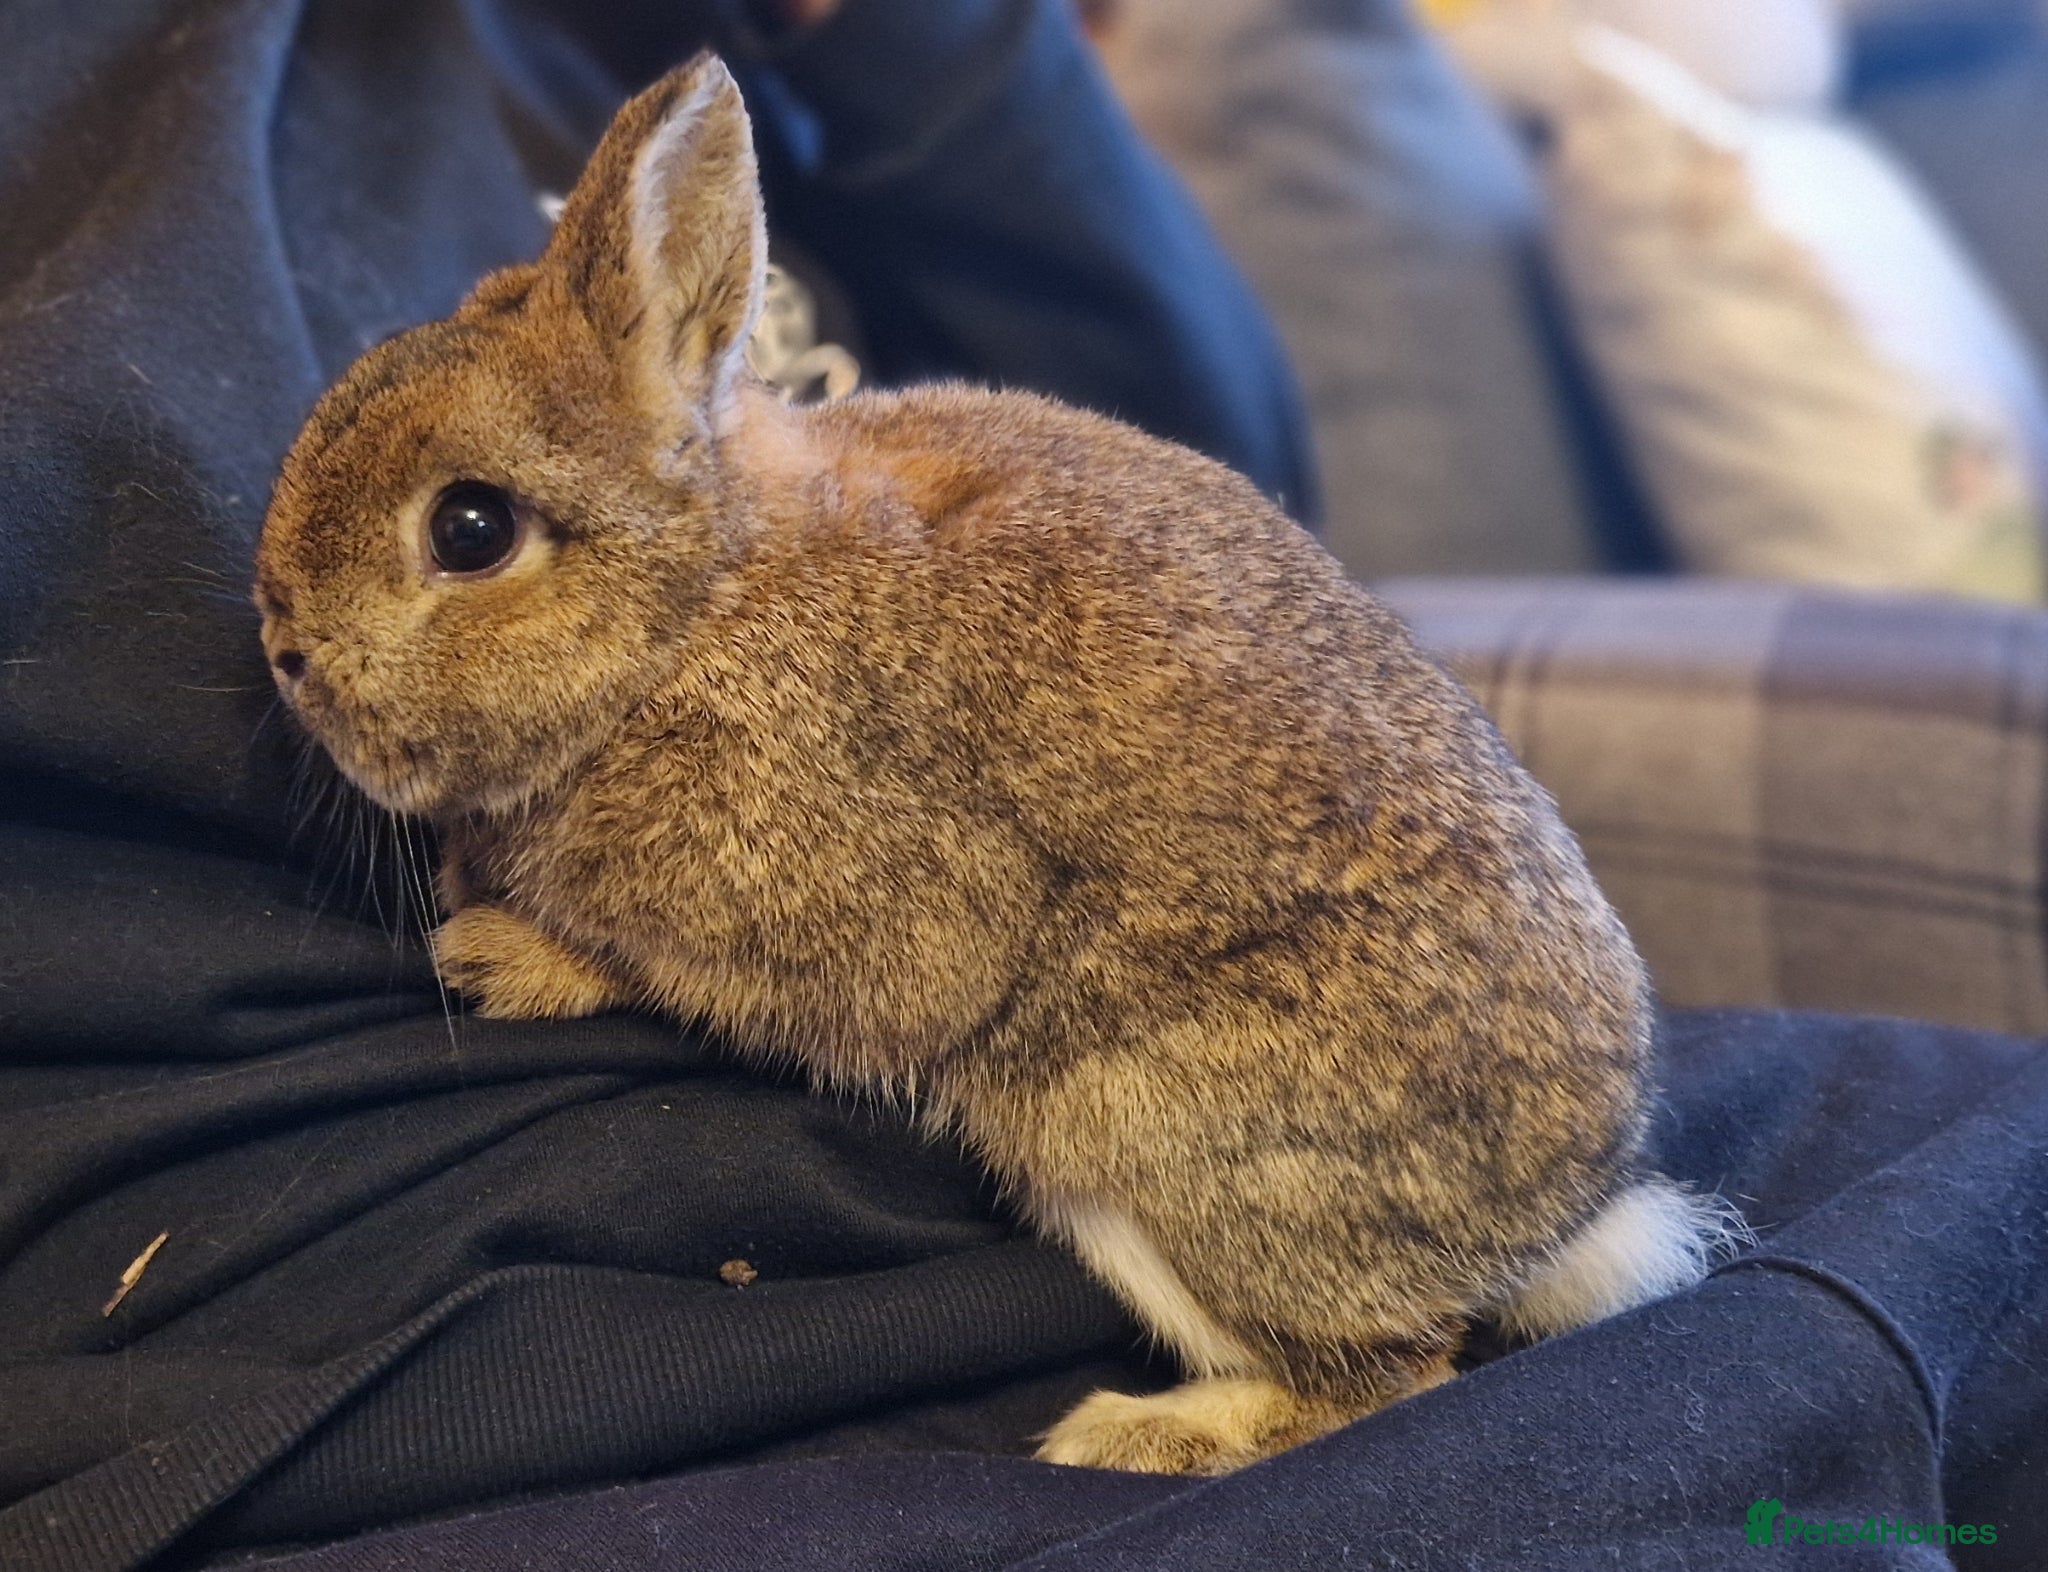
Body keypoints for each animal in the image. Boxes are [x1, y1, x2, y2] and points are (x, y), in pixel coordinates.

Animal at [254, 52, 1733, 1476]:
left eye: (469, 528)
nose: (281, 646)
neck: (699, 603)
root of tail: (1567, 1219)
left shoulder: (869, 906)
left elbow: (719, 976)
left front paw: (501, 954)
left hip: (1136, 1137)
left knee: (1388, 1378)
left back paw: (1135, 1435)